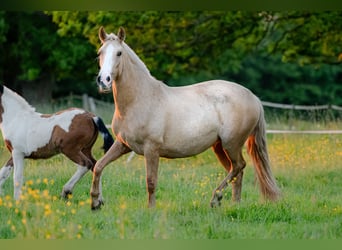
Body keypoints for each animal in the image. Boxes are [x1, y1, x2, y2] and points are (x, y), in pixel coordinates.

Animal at [91, 26, 280, 209]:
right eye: (100, 52)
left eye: (119, 53)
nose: (104, 81)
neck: (139, 99)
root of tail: (253, 97)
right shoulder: (123, 144)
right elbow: (98, 166)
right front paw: (95, 202)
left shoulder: (151, 149)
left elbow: (151, 182)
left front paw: (151, 210)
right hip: (220, 147)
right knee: (236, 172)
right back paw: (234, 204)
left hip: (231, 144)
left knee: (239, 166)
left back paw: (216, 199)